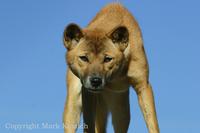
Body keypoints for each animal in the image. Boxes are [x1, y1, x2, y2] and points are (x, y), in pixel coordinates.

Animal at [62, 2, 159, 133]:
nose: (96, 81)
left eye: (107, 59)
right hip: (74, 104)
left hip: (121, 112)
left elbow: (153, 125)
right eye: (84, 58)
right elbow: (88, 125)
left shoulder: (143, 85)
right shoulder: (87, 93)